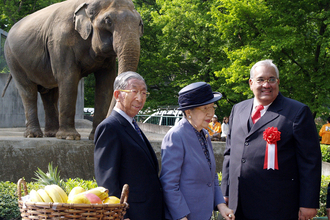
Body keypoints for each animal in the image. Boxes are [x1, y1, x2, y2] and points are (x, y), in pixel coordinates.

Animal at [3, 0, 143, 140]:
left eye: (140, 23)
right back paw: (34, 135)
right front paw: (69, 137)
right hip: (13, 60)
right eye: (108, 21)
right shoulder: (61, 41)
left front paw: (94, 136)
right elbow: (68, 77)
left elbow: (106, 83)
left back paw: (52, 134)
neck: (86, 4)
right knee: (28, 91)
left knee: (49, 94)